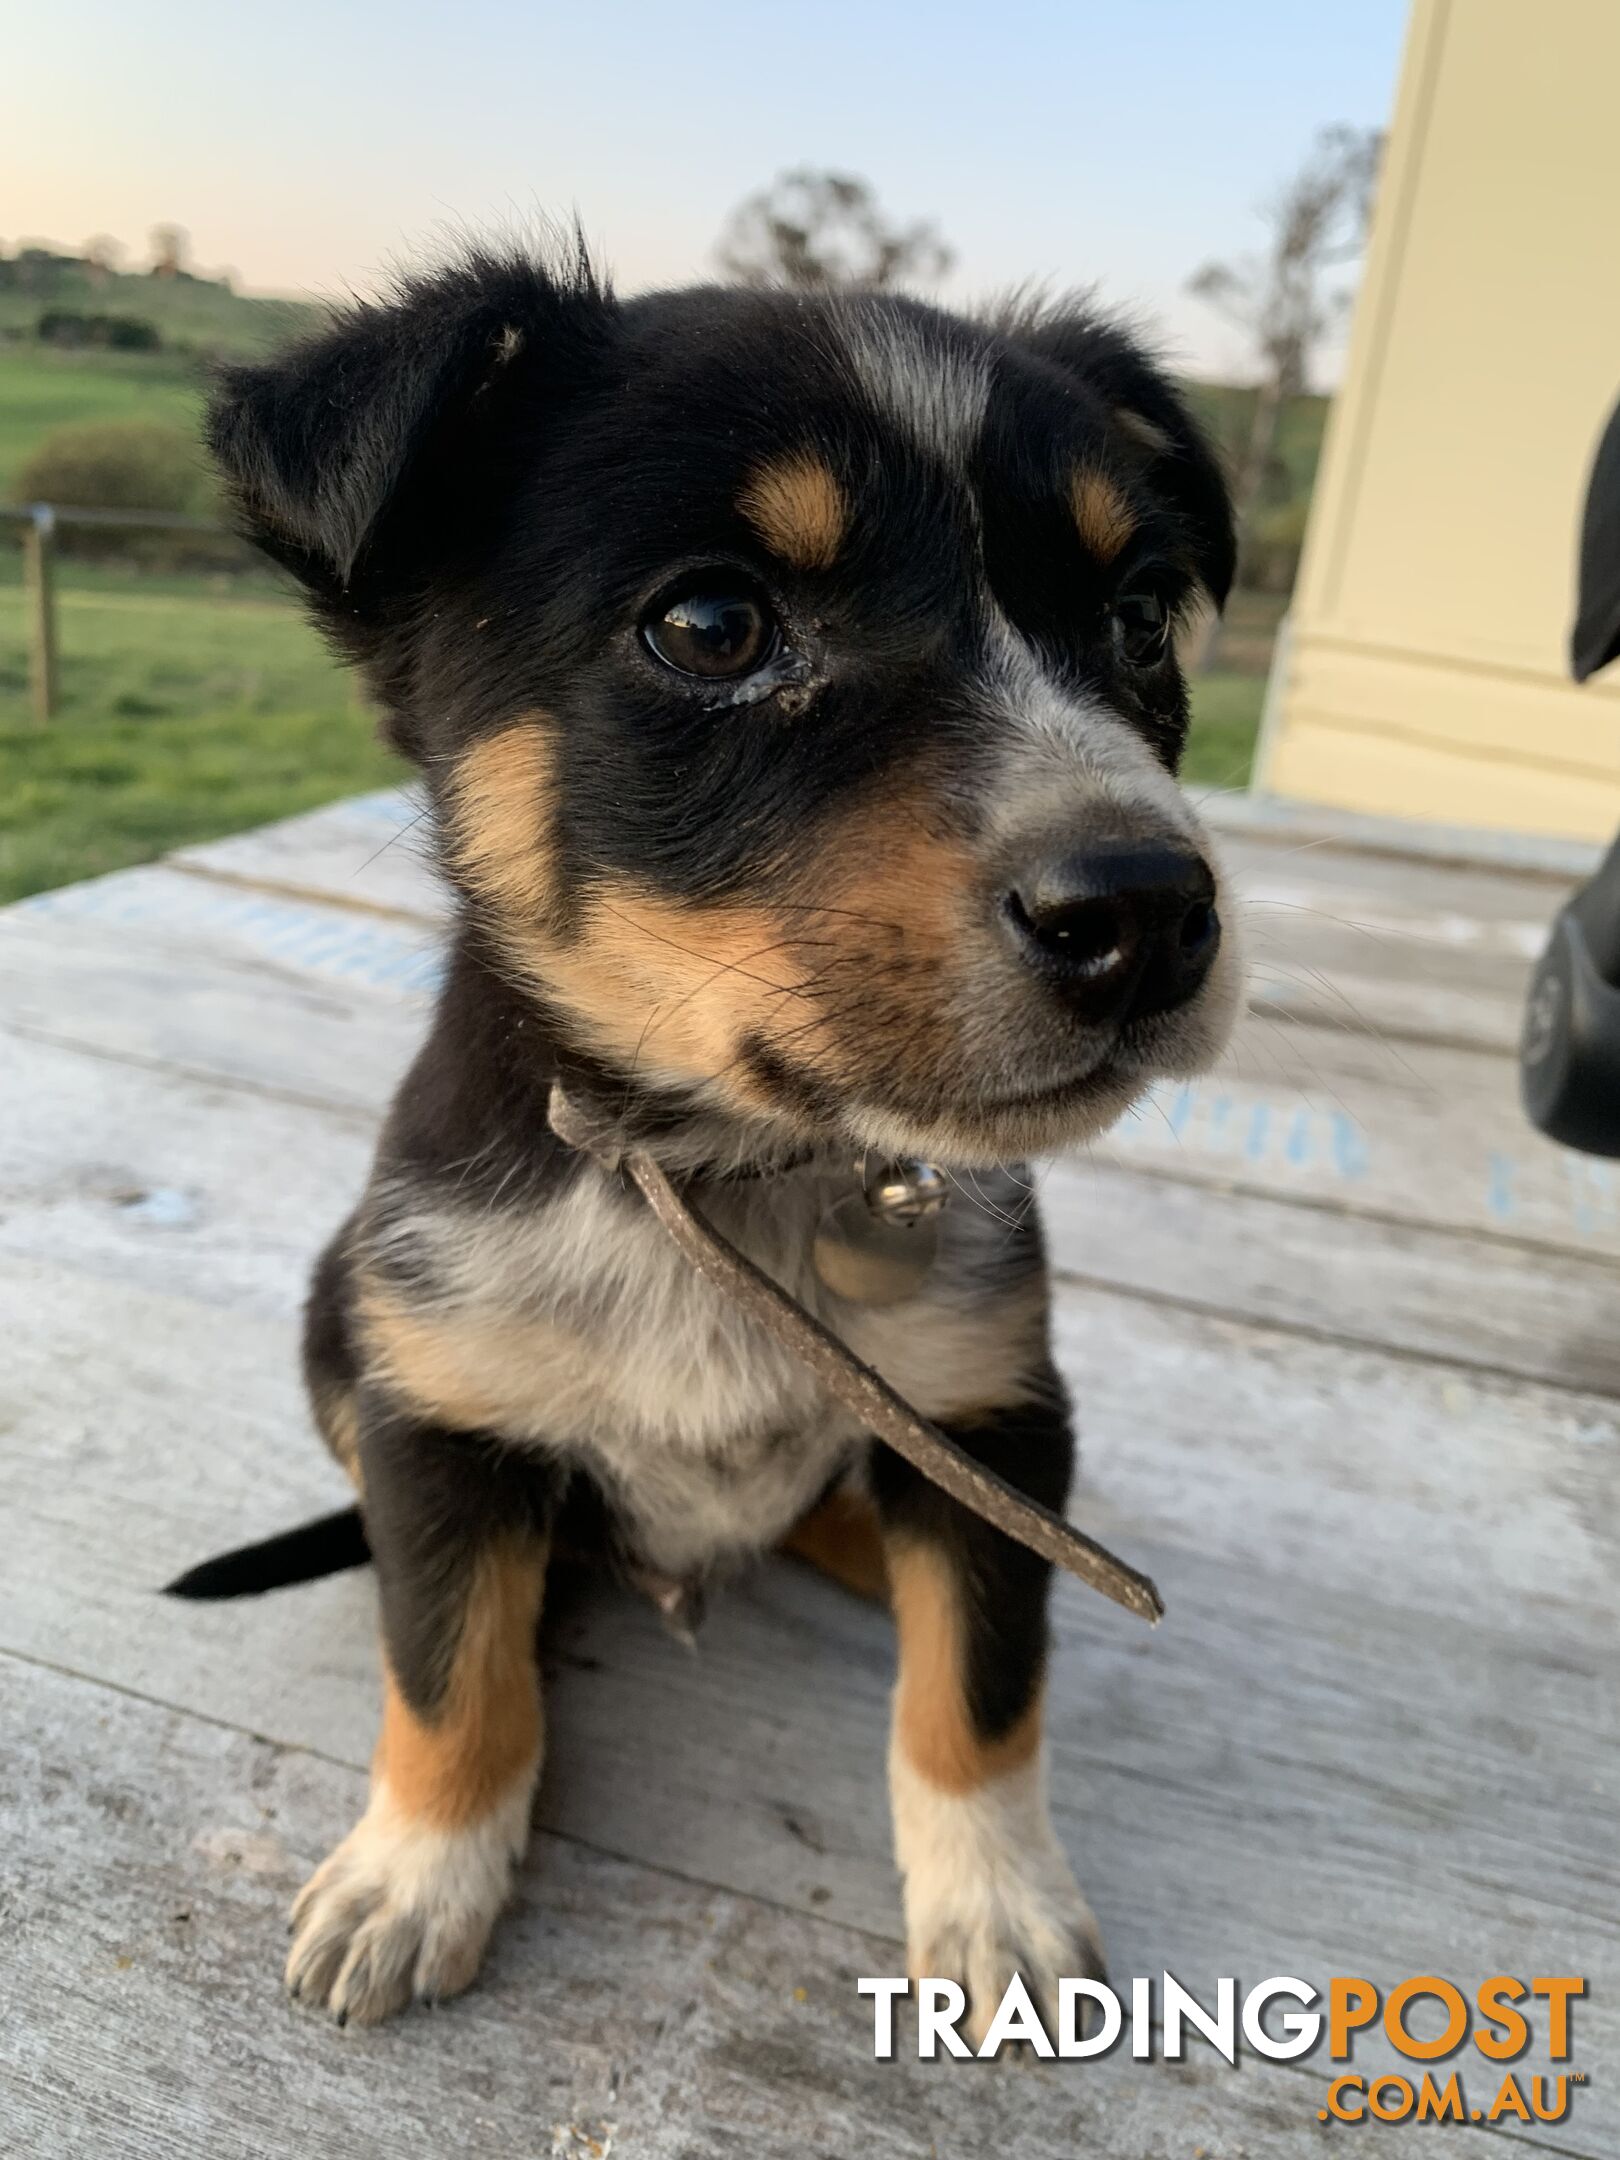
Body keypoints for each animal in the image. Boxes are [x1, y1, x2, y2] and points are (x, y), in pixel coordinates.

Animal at [203, 245, 1244, 2030]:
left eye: (1135, 618)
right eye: (710, 624)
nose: (1147, 914)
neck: (719, 1176)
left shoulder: (997, 1401)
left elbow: (979, 1689)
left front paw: (1001, 1906)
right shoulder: (435, 1413)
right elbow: (450, 1671)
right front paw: (416, 1876)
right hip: (339, 1320)